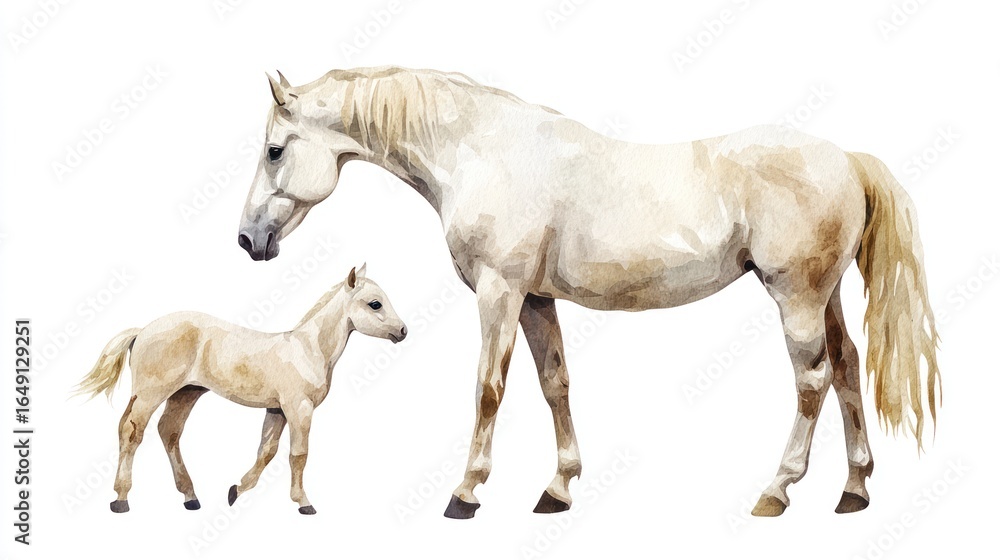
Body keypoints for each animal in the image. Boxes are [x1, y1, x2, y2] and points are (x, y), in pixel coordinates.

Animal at [76, 265, 407, 514]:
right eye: (375, 303)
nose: (403, 331)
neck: (307, 349)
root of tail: (142, 330)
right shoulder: (299, 408)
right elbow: (298, 454)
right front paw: (304, 503)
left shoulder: (277, 409)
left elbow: (267, 452)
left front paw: (235, 490)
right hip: (151, 393)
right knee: (131, 431)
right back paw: (121, 499)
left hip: (186, 393)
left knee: (168, 431)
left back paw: (190, 497)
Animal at [237, 66, 941, 519]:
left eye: (273, 150)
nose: (248, 240)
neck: (480, 151)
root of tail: (846, 159)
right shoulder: (535, 300)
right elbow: (555, 384)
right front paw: (559, 488)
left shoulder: (499, 293)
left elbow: (488, 388)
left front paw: (466, 493)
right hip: (825, 298)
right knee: (846, 368)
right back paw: (853, 491)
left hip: (795, 299)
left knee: (812, 382)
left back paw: (776, 491)